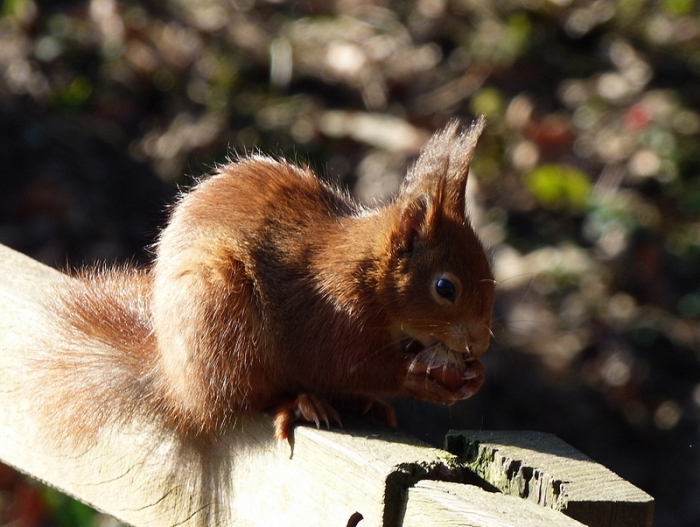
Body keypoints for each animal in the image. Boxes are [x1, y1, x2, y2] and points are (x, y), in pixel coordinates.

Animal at [34, 117, 494, 447]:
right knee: (242, 398)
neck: (368, 275)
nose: (480, 343)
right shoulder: (330, 315)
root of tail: (174, 381)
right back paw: (302, 401)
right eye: (445, 288)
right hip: (222, 319)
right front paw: (420, 380)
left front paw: (474, 376)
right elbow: (347, 364)